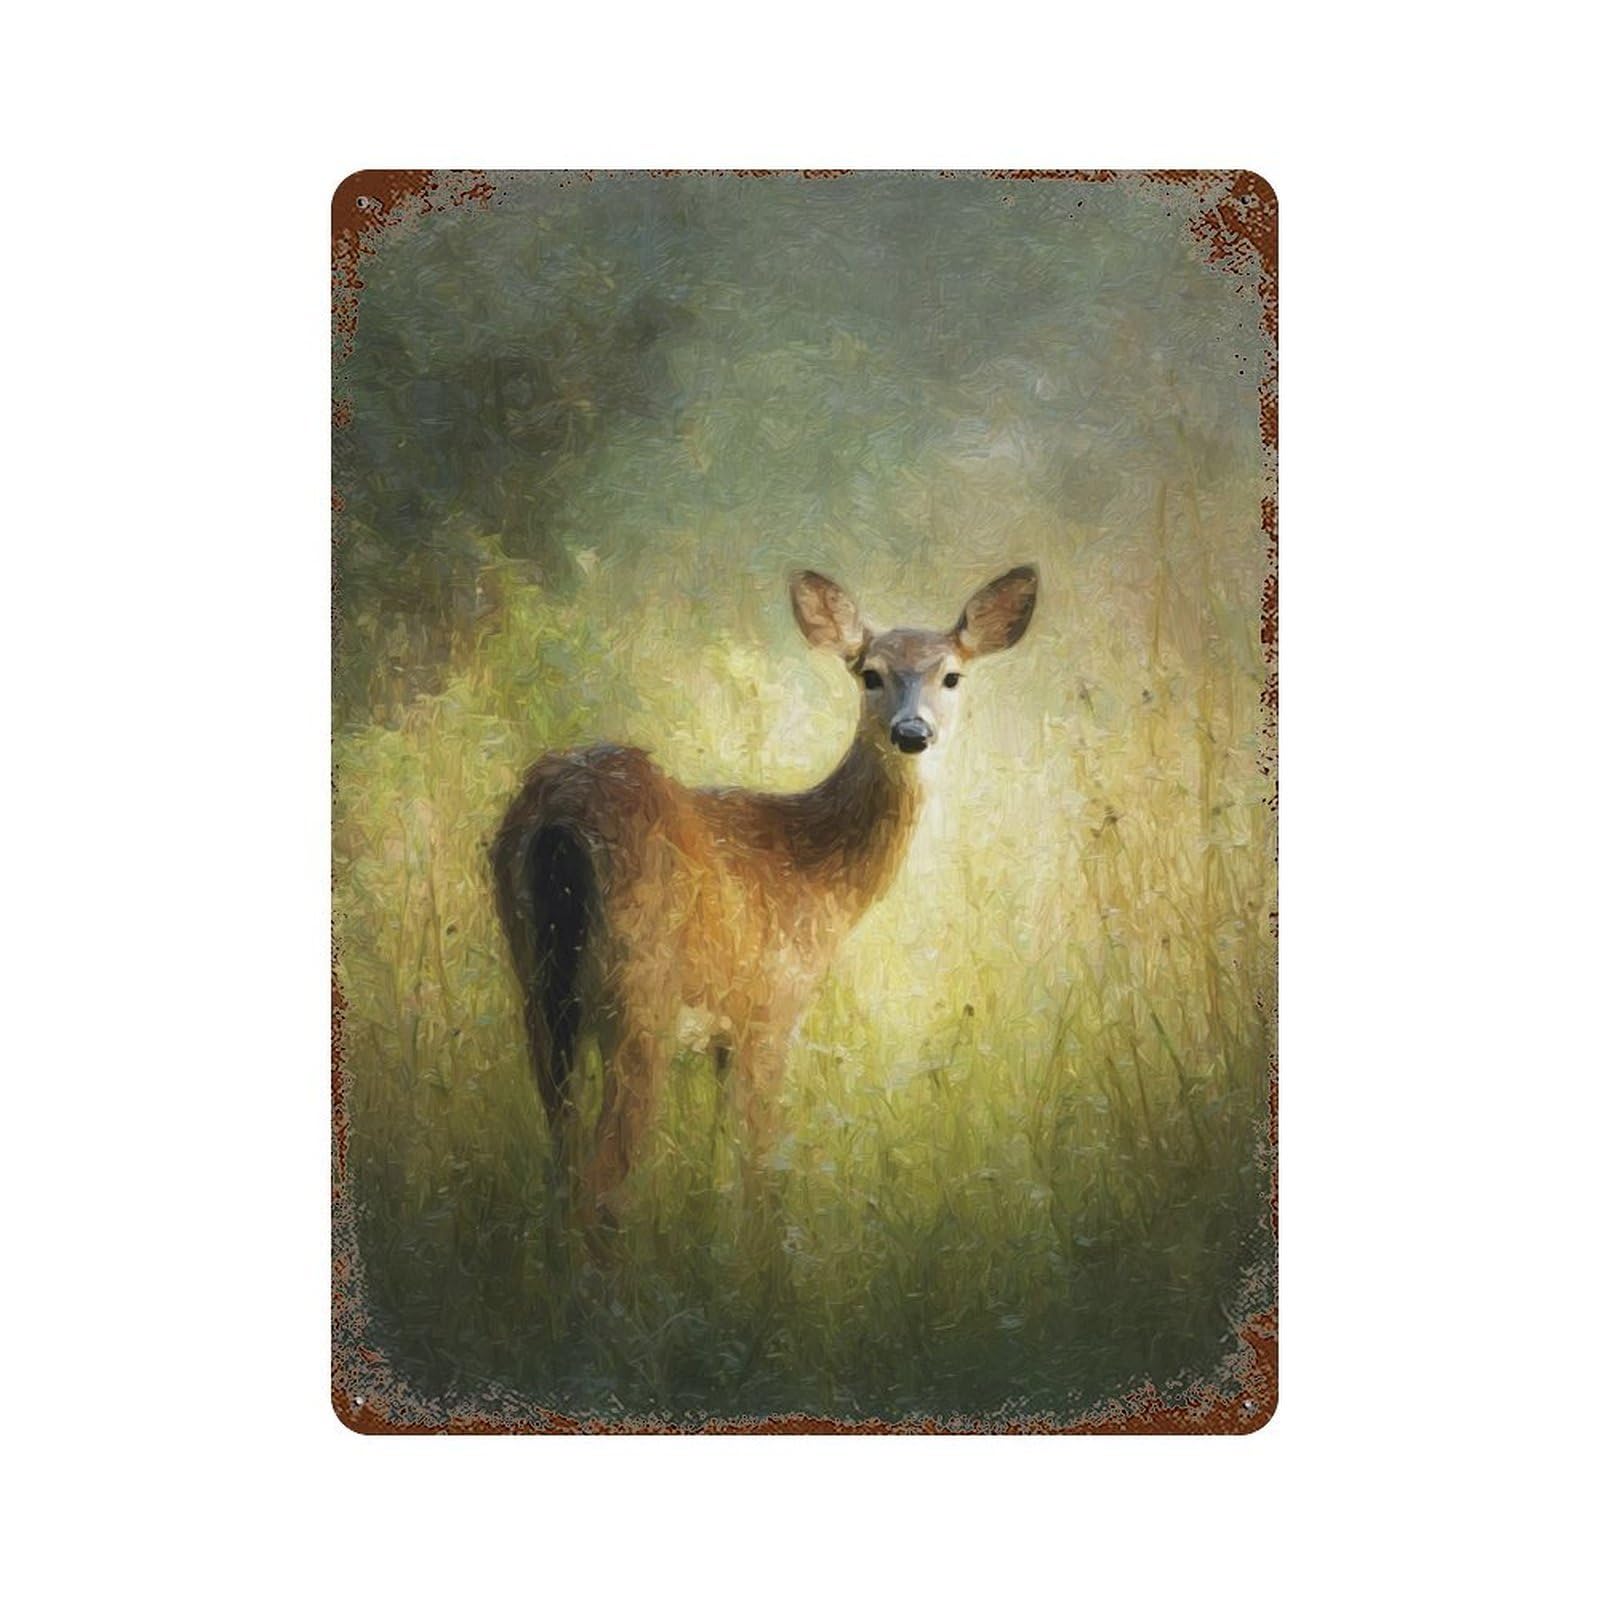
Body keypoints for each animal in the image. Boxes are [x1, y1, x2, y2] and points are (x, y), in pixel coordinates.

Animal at [491, 565, 1038, 1225]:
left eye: (952, 675)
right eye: (871, 673)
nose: (912, 732)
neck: (816, 871)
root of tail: (561, 821)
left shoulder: (726, 1035)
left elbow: (718, 1170)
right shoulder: (773, 1008)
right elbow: (759, 1171)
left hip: (539, 987)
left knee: (560, 1165)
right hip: (640, 995)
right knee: (603, 1181)